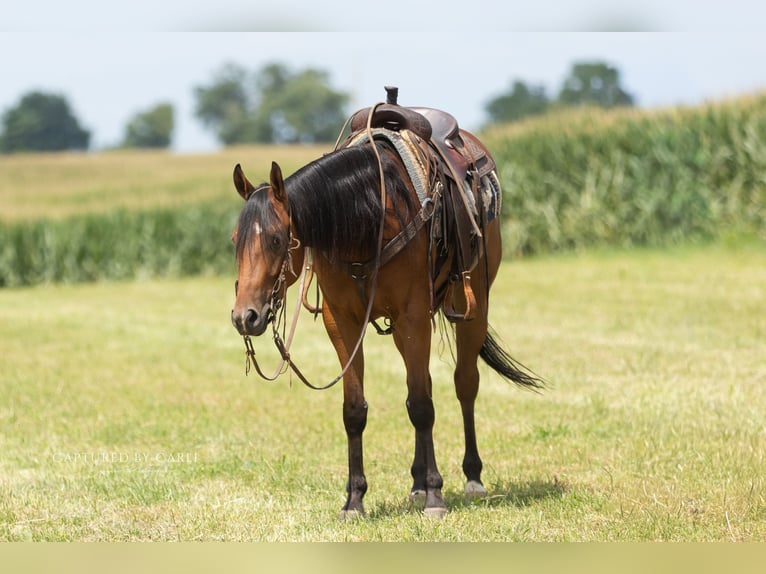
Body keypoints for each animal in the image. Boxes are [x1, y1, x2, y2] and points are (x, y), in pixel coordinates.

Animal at [230, 103, 542, 519]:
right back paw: (416, 482)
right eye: (235, 239)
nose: (244, 316)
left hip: (473, 306)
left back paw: (471, 477)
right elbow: (355, 410)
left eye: (278, 239)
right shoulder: (342, 320)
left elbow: (422, 406)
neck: (368, 218)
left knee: (464, 383)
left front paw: (436, 497)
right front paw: (354, 500)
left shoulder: (413, 314)